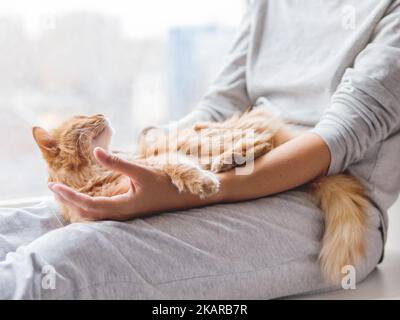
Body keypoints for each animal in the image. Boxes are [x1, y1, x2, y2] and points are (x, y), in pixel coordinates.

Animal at [33, 110, 368, 282]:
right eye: (82, 118)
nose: (102, 113)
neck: (93, 173)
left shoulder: (150, 162)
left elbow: (174, 165)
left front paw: (202, 183)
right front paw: (203, 179)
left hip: (207, 137)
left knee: (260, 139)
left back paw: (228, 160)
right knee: (262, 141)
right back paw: (227, 161)